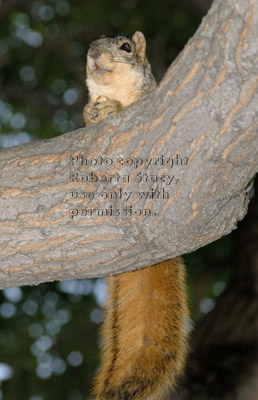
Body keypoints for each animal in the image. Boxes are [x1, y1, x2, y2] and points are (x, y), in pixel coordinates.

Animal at [83, 32, 188, 400]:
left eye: (126, 47)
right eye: (90, 45)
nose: (93, 53)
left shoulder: (148, 99)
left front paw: (112, 109)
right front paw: (89, 111)